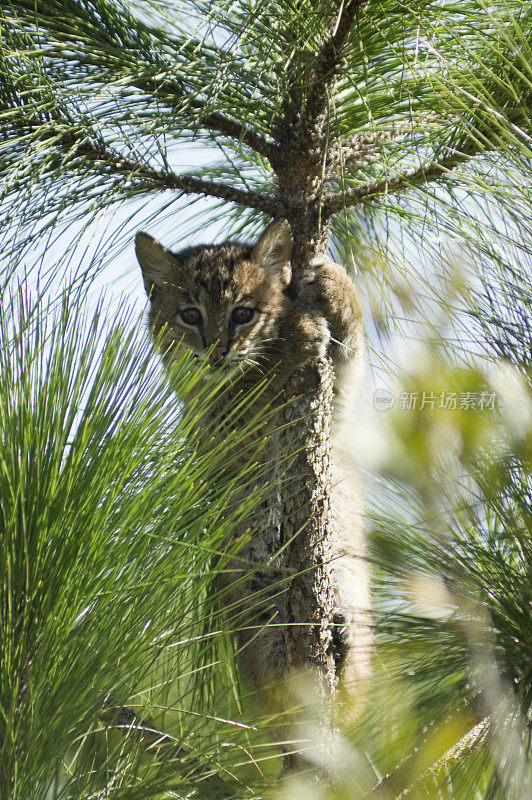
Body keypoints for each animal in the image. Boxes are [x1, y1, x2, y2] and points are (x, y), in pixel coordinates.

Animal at [135, 217, 372, 712]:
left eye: (242, 314)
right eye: (190, 316)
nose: (216, 352)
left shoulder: (332, 409)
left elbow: (352, 348)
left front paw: (331, 284)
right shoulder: (218, 423)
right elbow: (253, 384)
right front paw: (296, 333)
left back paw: (341, 644)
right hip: (250, 591)